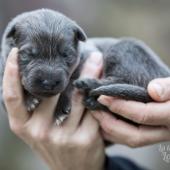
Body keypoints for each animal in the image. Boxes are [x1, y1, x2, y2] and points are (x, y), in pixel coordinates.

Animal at [0, 8, 169, 125]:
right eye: (28, 54)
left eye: (66, 55)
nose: (49, 82)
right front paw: (29, 100)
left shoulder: (88, 56)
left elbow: (69, 83)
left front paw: (60, 109)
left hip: (123, 50)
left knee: (123, 80)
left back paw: (88, 84)